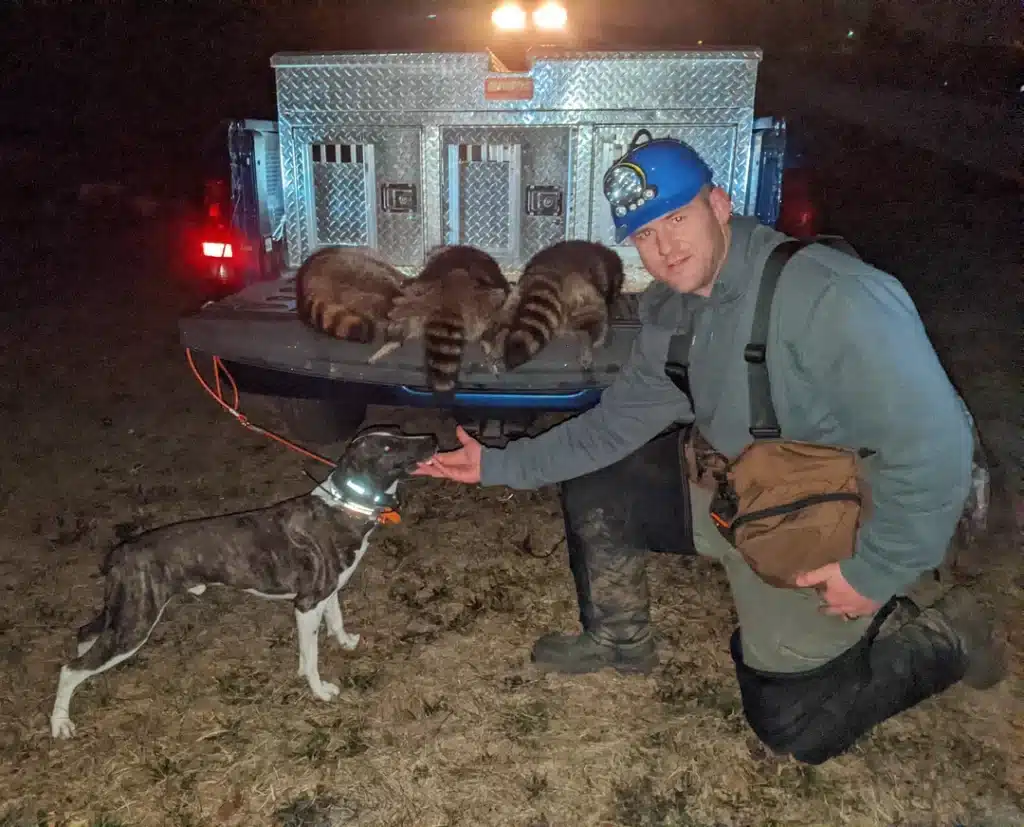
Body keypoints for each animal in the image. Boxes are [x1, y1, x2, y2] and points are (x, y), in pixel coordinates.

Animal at [49, 425, 434, 736]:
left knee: (86, 634)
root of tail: (121, 553)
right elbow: (311, 657)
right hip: (135, 623)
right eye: (389, 446)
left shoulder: (327, 593)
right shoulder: (306, 604)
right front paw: (320, 690)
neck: (344, 506)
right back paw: (60, 723)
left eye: (398, 434)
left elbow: (334, 621)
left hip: (123, 612)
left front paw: (344, 642)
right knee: (70, 669)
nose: (431, 439)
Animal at [368, 243, 512, 395]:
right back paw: (488, 341)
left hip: (417, 296)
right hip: (486, 300)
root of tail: (449, 292)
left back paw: (392, 341)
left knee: (405, 310)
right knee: (497, 304)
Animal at [493, 237, 626, 370]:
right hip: (583, 295)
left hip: (517, 293)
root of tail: (547, 270)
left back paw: (500, 340)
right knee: (594, 320)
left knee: (507, 318)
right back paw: (588, 341)